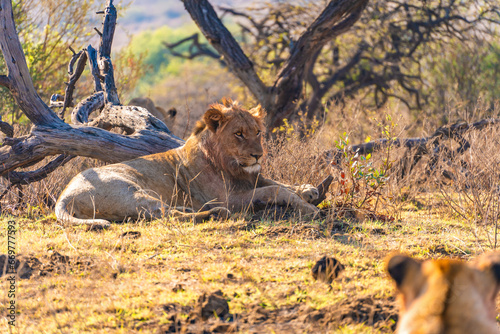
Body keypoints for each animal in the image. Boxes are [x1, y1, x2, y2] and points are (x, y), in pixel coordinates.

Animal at [55, 98, 320, 228]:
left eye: (257, 132)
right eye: (239, 134)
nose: (258, 155)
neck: (230, 166)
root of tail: (64, 197)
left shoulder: (250, 177)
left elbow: (278, 182)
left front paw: (308, 189)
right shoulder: (229, 198)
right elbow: (274, 189)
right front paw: (309, 207)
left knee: (168, 212)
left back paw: (191, 209)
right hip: (132, 190)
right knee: (164, 215)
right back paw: (214, 214)